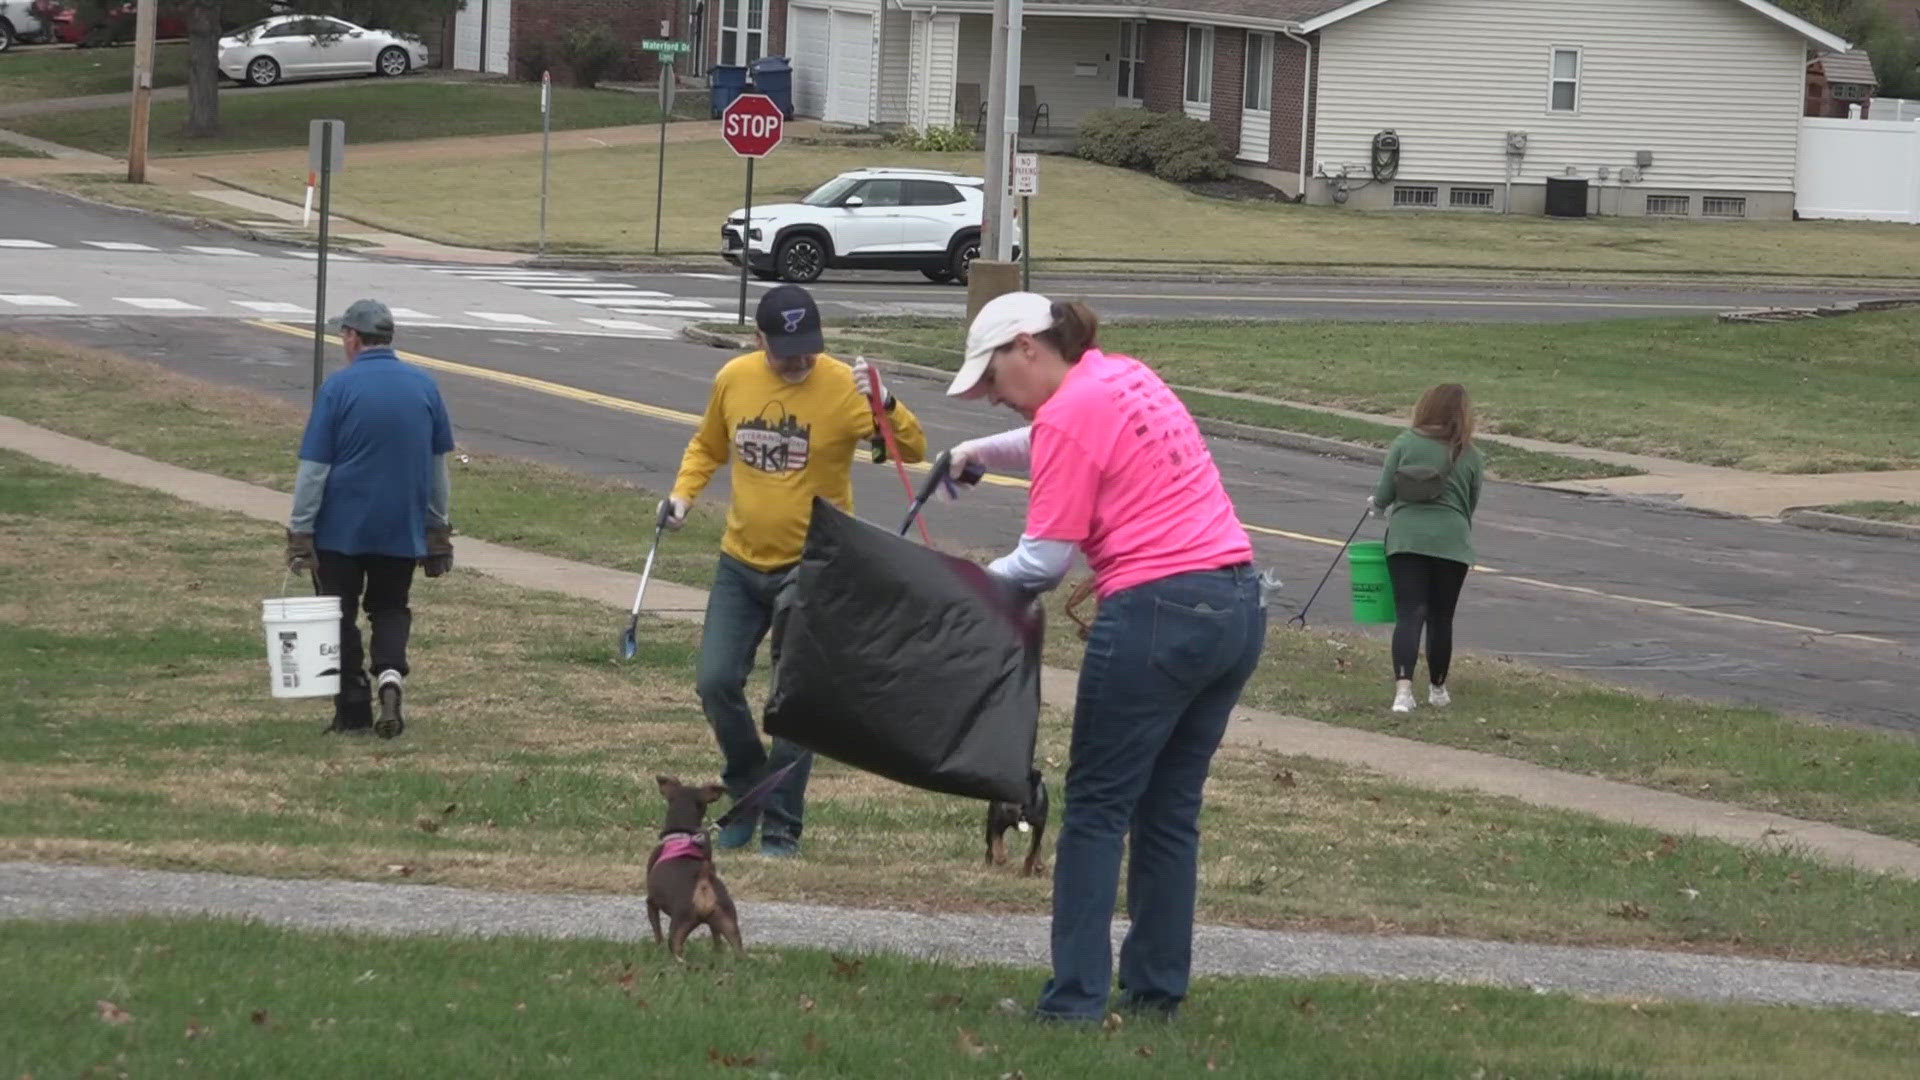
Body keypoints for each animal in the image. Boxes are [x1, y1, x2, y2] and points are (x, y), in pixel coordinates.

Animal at [641, 772, 737, 957]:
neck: (683, 833)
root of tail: (703, 883)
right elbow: (716, 937)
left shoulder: (651, 902)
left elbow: (657, 932)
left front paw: (657, 948)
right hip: (727, 920)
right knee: (734, 947)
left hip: (680, 924)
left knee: (675, 946)